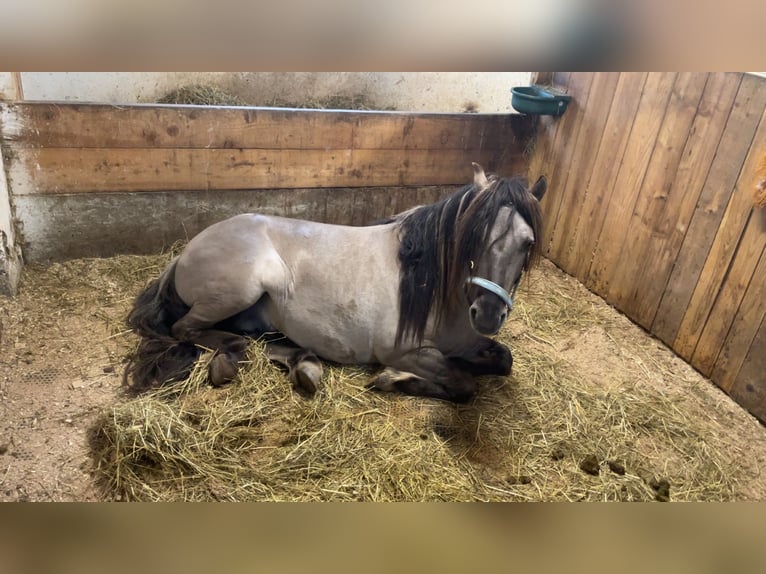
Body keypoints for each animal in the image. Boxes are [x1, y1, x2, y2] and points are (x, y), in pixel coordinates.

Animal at [124, 164, 544, 402]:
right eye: (472, 237)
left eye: (528, 243)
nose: (487, 314)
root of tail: (185, 252)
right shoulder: (404, 351)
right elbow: (463, 384)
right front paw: (392, 380)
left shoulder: (469, 343)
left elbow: (503, 361)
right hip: (236, 293)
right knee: (187, 329)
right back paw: (230, 358)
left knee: (260, 341)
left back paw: (303, 366)